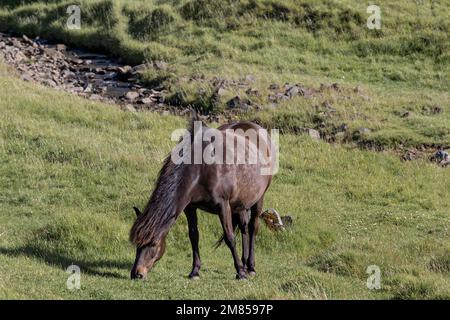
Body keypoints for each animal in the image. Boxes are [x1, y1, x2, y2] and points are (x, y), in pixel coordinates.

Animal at [130, 120, 276, 280]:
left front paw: (240, 272)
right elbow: (194, 236)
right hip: (240, 204)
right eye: (137, 244)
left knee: (252, 228)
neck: (200, 169)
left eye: (154, 243)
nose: (136, 273)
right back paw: (244, 263)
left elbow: (230, 238)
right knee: (243, 227)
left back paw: (249, 267)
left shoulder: (223, 205)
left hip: (259, 199)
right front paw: (195, 271)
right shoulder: (190, 207)